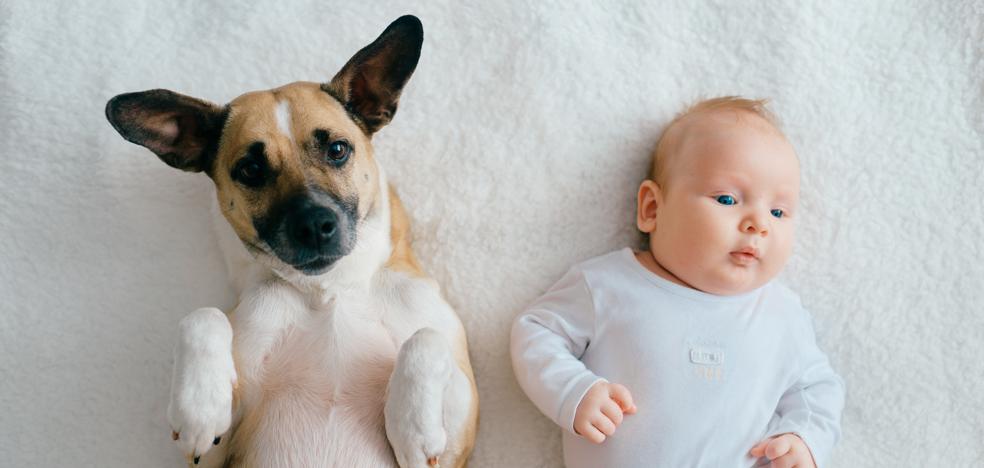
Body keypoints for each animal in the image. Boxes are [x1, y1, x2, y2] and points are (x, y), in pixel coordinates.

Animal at [103, 16, 476, 466]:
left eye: (337, 149)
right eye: (250, 170)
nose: (314, 225)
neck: (330, 289)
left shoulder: (457, 437)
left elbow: (426, 338)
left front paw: (413, 425)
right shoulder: (209, 456)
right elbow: (202, 316)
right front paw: (200, 407)